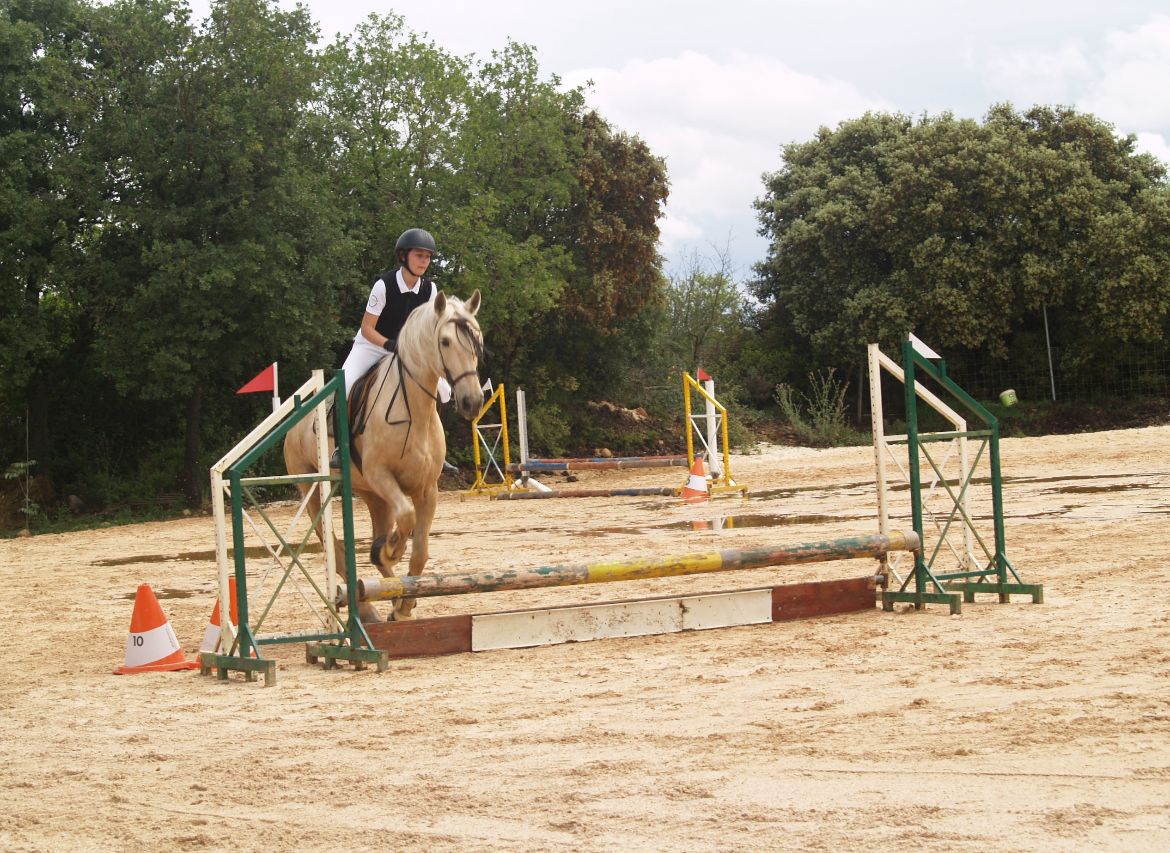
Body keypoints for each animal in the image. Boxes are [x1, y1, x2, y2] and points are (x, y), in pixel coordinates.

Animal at [284, 289, 484, 622]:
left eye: (477, 340)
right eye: (444, 342)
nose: (473, 402)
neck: (413, 411)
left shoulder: (426, 489)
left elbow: (419, 553)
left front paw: (404, 606)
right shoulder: (381, 476)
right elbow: (405, 518)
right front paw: (392, 549)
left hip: (373, 496)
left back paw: (390, 599)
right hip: (313, 491)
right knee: (333, 548)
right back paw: (367, 609)